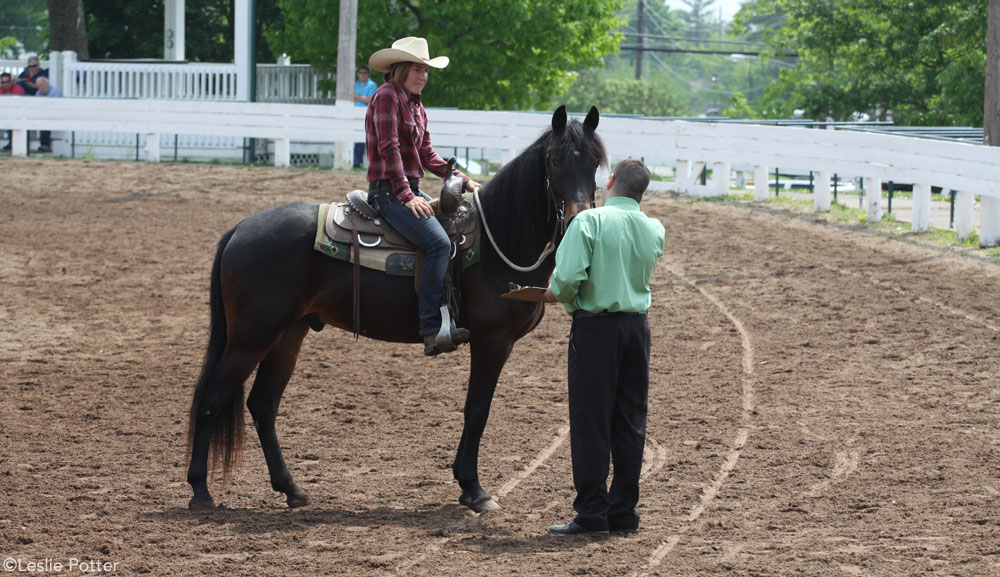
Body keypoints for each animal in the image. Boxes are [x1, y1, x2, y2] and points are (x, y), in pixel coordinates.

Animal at [189, 106, 608, 510]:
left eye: (594, 162)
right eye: (554, 160)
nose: (577, 217)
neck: (497, 239)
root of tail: (240, 229)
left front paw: (467, 485)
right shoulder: (492, 341)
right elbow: (477, 411)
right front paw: (473, 489)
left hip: (288, 335)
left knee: (262, 405)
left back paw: (291, 489)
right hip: (250, 338)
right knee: (211, 399)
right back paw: (200, 491)